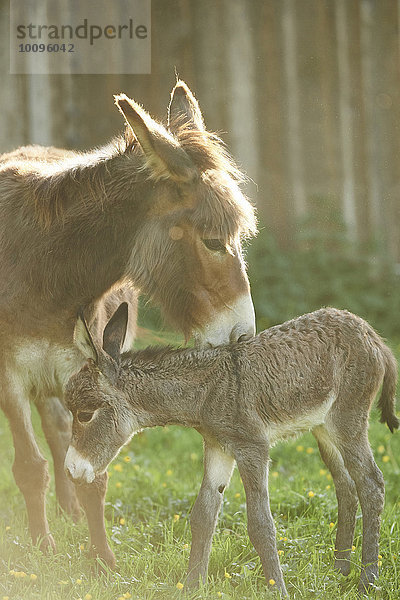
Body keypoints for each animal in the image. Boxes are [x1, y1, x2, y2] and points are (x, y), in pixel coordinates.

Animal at [65, 308, 396, 596]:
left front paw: (279, 591)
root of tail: (371, 334)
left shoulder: (252, 447)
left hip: (348, 418)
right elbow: (203, 515)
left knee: (371, 483)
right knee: (346, 485)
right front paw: (192, 587)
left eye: (84, 414)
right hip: (323, 428)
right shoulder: (217, 447)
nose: (71, 470)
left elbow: (260, 524)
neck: (207, 391)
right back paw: (341, 569)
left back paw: (368, 579)